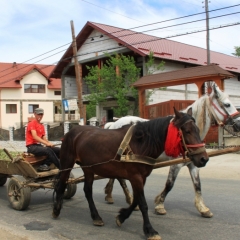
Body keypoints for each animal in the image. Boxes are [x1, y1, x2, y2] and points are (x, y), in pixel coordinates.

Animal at [52, 108, 208, 239]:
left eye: (197, 130)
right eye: (187, 131)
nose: (203, 159)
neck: (141, 143)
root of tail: (72, 132)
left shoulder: (141, 178)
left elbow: (136, 200)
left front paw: (121, 217)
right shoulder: (135, 177)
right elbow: (143, 204)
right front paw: (149, 230)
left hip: (89, 168)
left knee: (87, 191)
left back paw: (96, 217)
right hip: (67, 163)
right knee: (61, 184)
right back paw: (56, 210)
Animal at [104, 83, 240, 218]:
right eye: (227, 104)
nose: (238, 124)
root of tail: (113, 124)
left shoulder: (193, 163)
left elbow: (198, 185)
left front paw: (203, 208)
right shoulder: (176, 164)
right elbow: (169, 184)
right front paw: (159, 205)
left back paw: (110, 195)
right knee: (121, 178)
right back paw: (130, 199)